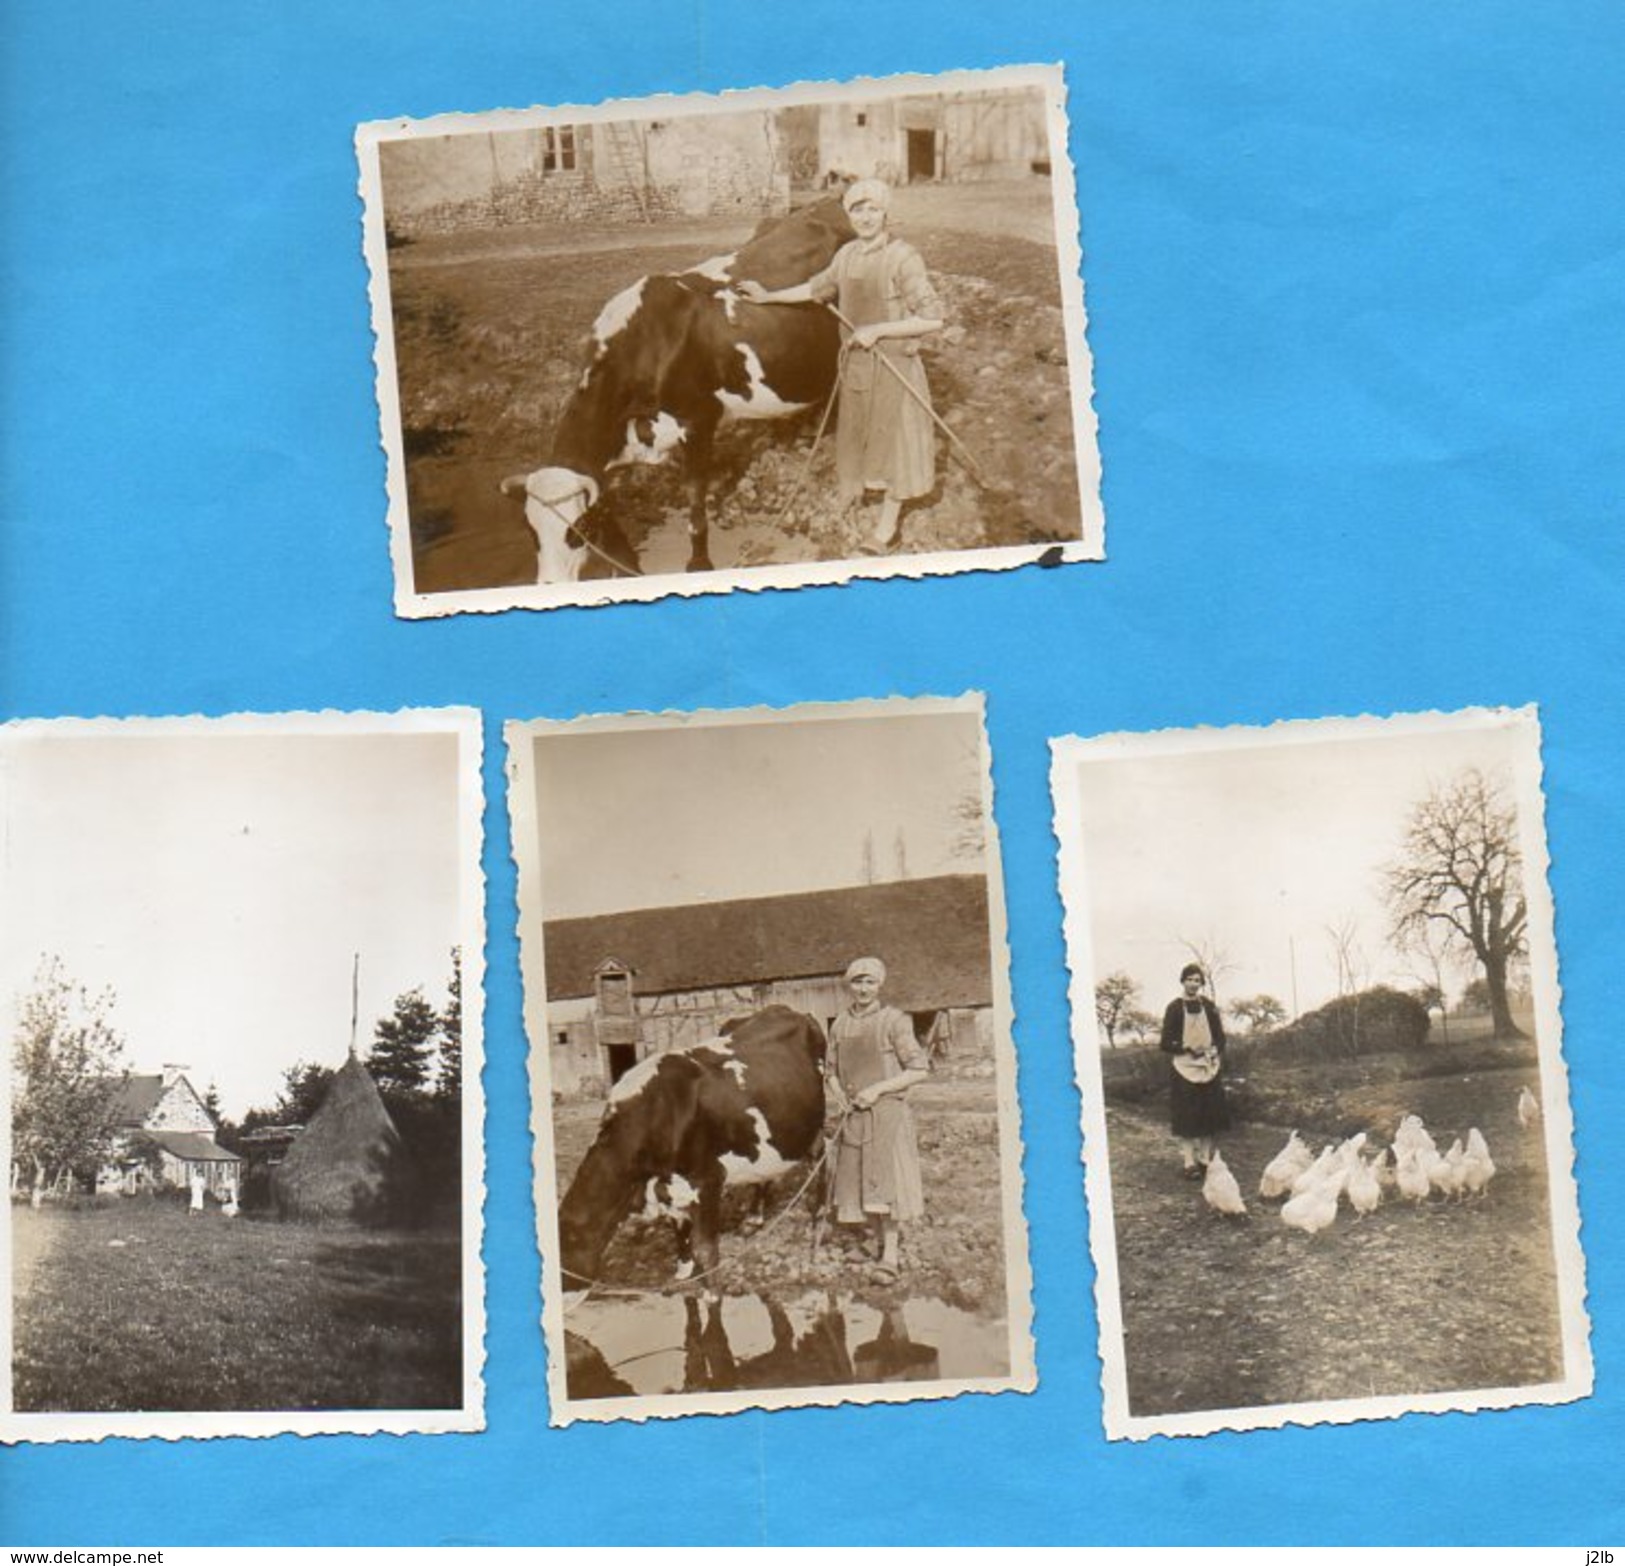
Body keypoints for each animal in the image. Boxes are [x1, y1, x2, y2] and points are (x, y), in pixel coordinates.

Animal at [500, 195, 858, 584]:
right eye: (531, 530)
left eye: (577, 530)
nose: (550, 583)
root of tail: (831, 202)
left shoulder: (698, 422)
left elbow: (695, 509)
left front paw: (699, 564)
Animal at [565, 1007, 832, 1293]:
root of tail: (790, 1010)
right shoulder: (669, 1183)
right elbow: (678, 1225)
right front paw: (684, 1268)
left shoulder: (708, 1179)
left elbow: (705, 1247)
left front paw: (709, 1284)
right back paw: (753, 1218)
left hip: (813, 1124)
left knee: (822, 1155)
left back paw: (820, 1217)